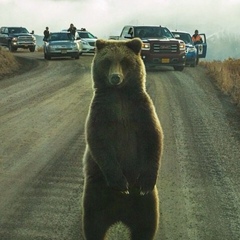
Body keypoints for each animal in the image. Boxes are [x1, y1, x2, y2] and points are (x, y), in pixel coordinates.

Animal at [82, 38, 163, 240]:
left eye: (125, 61)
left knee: (146, 226)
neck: (119, 95)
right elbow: (98, 142)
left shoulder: (141, 110)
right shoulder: (101, 112)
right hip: (96, 195)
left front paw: (146, 182)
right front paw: (120, 183)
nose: (115, 78)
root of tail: (120, 213)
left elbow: (154, 137)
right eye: (107, 61)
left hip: (146, 204)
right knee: (93, 225)